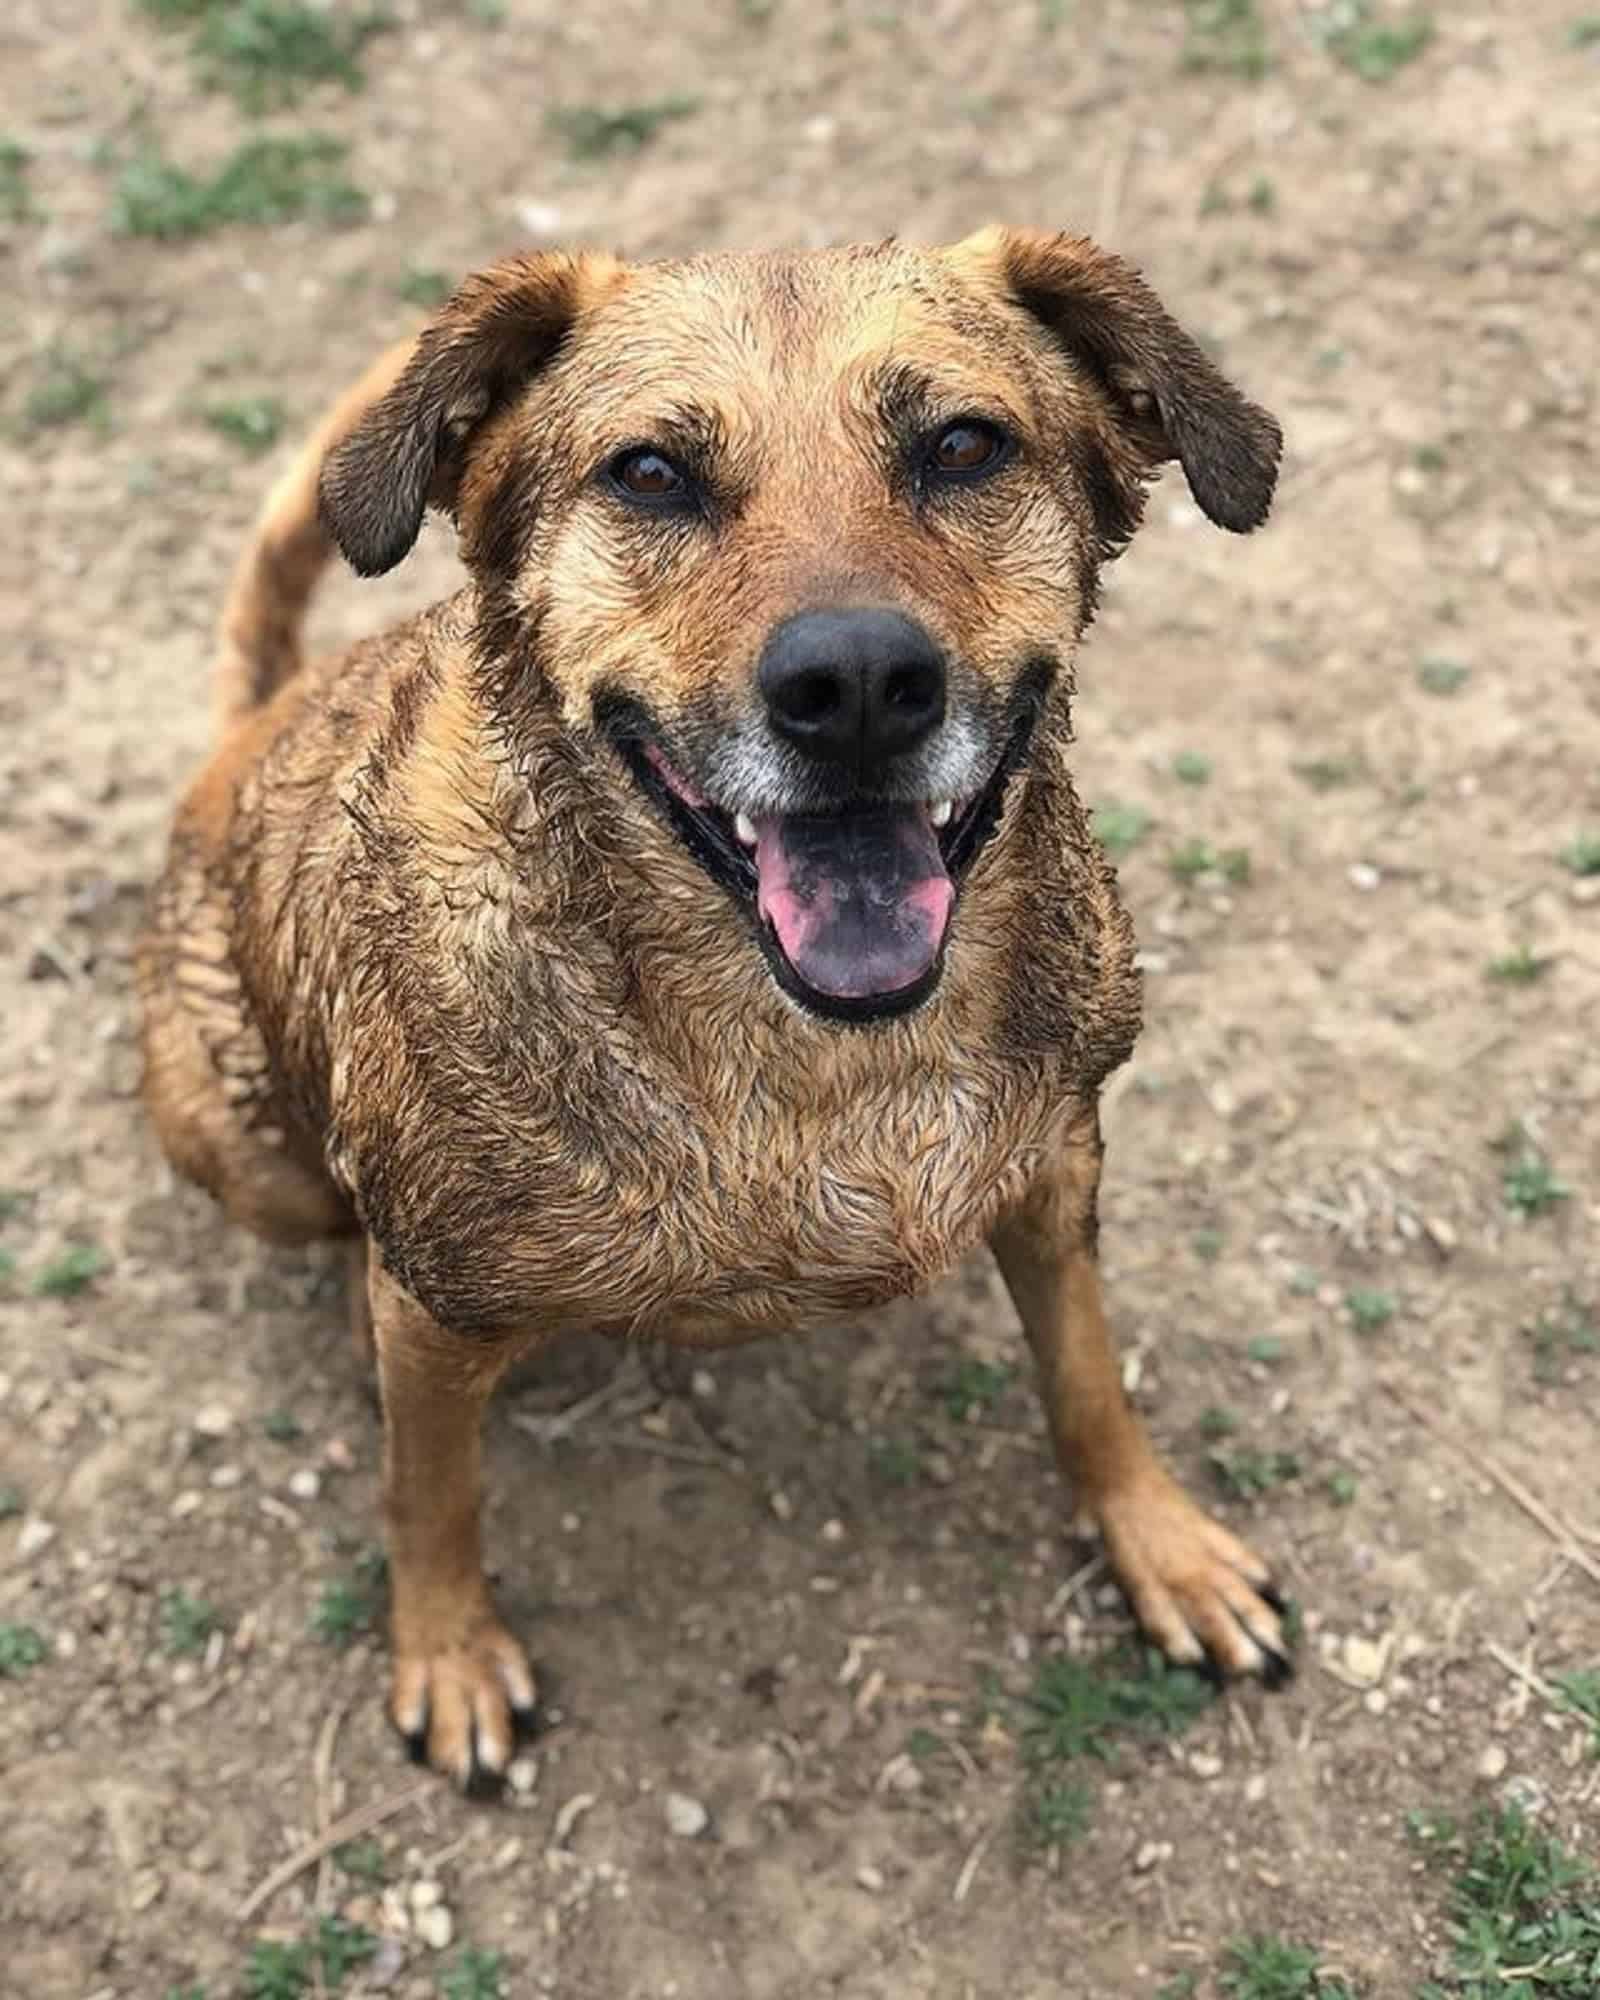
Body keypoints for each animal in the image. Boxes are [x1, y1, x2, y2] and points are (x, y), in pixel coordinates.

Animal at [134, 227, 1288, 1792]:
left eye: (965, 444)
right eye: (649, 473)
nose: (855, 684)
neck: (819, 1065)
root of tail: (244, 730)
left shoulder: (1056, 1172)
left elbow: (1089, 1377)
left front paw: (1163, 1547)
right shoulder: (433, 1316)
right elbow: (428, 1495)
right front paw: (447, 1651)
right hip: (235, 1138)